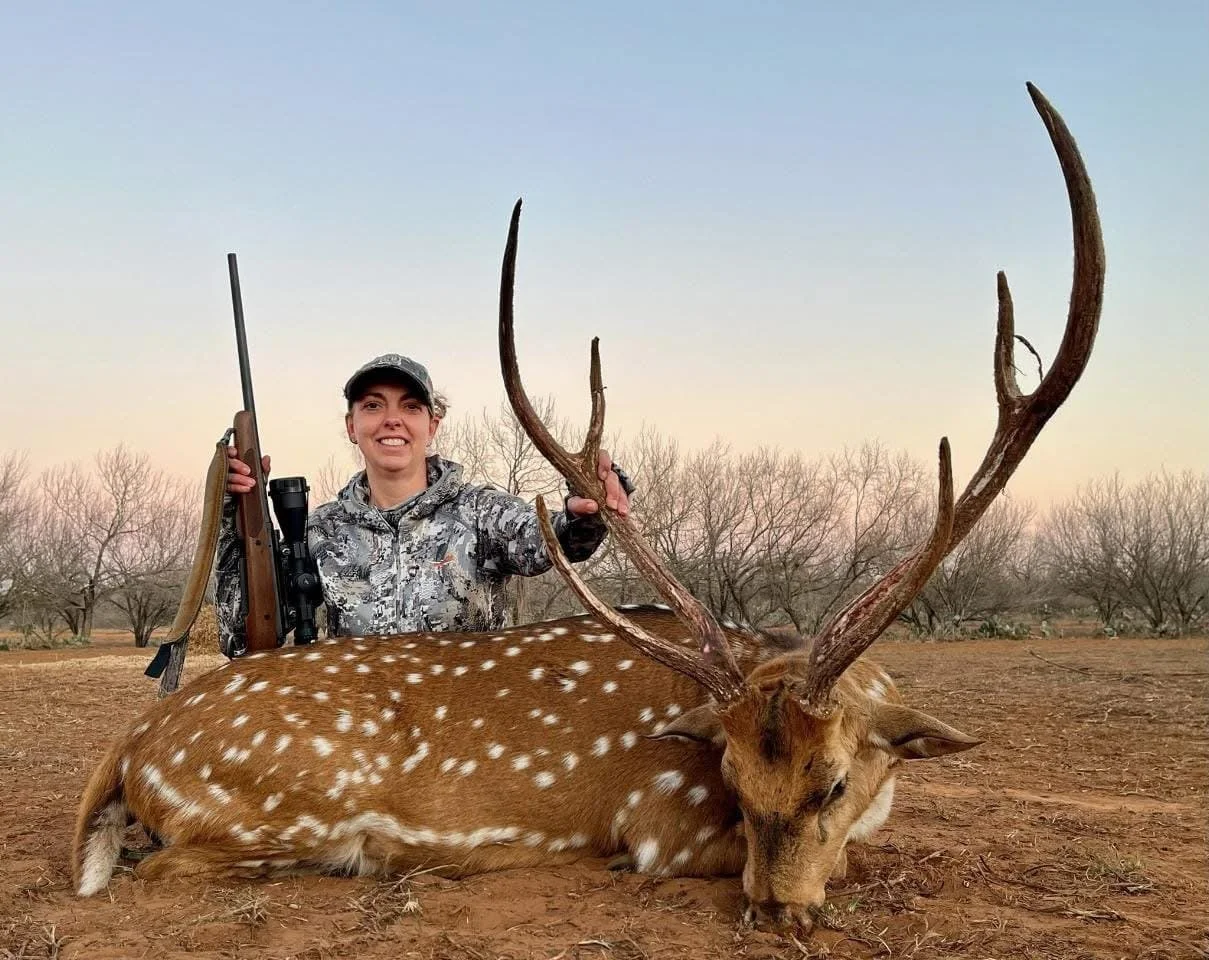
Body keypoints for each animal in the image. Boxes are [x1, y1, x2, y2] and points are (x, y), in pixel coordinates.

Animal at [72, 82, 1103, 932]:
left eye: (833, 778)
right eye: (729, 779)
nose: (775, 911)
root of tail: (131, 743)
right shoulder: (665, 819)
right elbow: (834, 863)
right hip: (276, 811)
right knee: (157, 869)